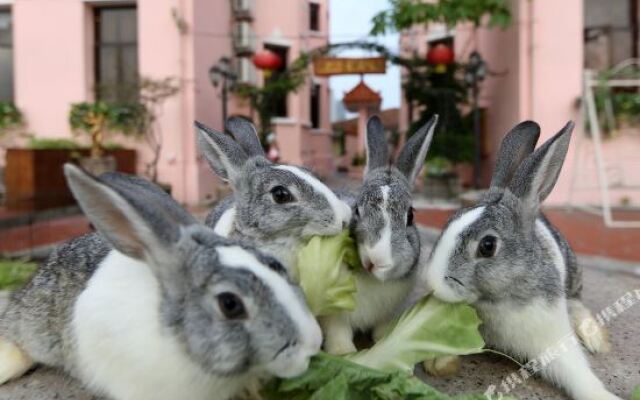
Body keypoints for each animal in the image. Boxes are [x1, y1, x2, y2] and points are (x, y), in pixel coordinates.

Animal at [322, 114, 438, 354]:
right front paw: (343, 352)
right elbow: (338, 330)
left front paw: (385, 339)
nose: (376, 259)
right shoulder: (334, 314)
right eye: (357, 210)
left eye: (410, 216)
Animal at [420, 121, 620, 400]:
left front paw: (603, 395)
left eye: (487, 246)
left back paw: (595, 340)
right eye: (448, 222)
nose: (433, 283)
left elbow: (575, 373)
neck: (498, 301)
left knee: (577, 303)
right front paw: (438, 363)